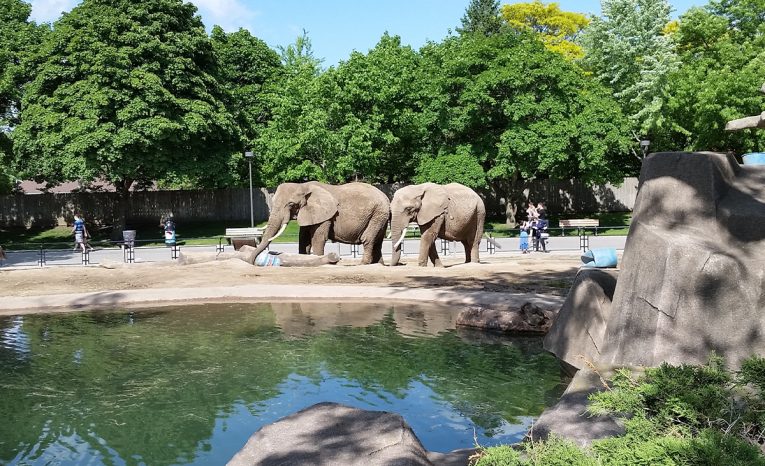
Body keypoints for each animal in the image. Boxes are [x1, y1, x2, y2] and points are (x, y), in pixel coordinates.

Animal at [254, 180, 390, 264]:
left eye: (291, 204)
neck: (302, 185)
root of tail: (386, 198)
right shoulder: (309, 213)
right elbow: (304, 239)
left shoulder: (325, 215)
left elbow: (317, 238)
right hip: (380, 216)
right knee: (378, 241)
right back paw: (378, 264)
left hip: (377, 214)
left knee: (368, 238)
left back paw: (363, 264)